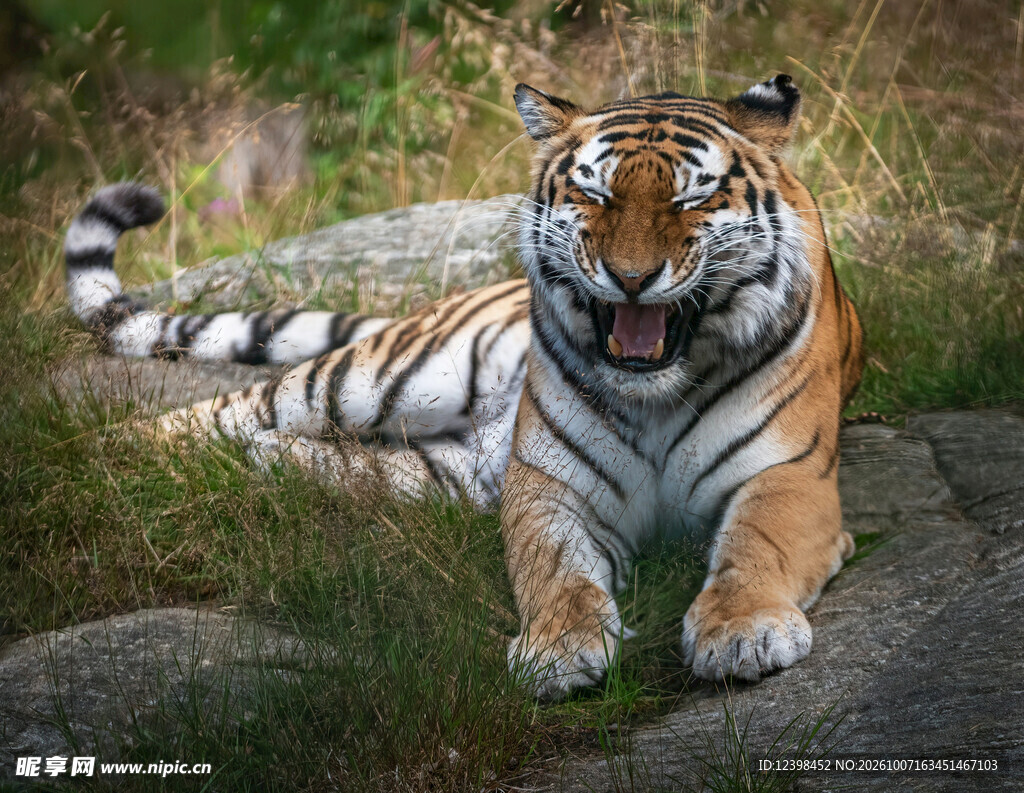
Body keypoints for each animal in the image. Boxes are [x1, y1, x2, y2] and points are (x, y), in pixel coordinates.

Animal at [64, 74, 863, 700]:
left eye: (692, 199)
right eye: (595, 192)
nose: (631, 278)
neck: (656, 389)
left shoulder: (789, 475)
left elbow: (755, 550)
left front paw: (742, 632)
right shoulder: (549, 487)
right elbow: (556, 572)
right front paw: (558, 649)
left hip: (432, 473)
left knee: (298, 452)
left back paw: (255, 467)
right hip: (381, 379)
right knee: (223, 409)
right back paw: (101, 461)